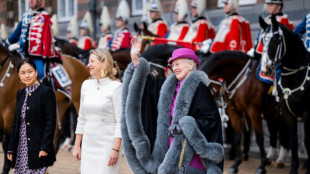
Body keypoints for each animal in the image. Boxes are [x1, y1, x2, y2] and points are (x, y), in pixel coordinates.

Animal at [0, 45, 89, 173]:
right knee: (58, 132)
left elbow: (7, 144)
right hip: (60, 104)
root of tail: (81, 64)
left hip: (79, 104)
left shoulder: (9, 115)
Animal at [258, 14, 310, 174]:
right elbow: (293, 141)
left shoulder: (306, 113)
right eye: (262, 40)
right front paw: (294, 168)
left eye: (276, 40)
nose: (266, 69)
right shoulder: (287, 113)